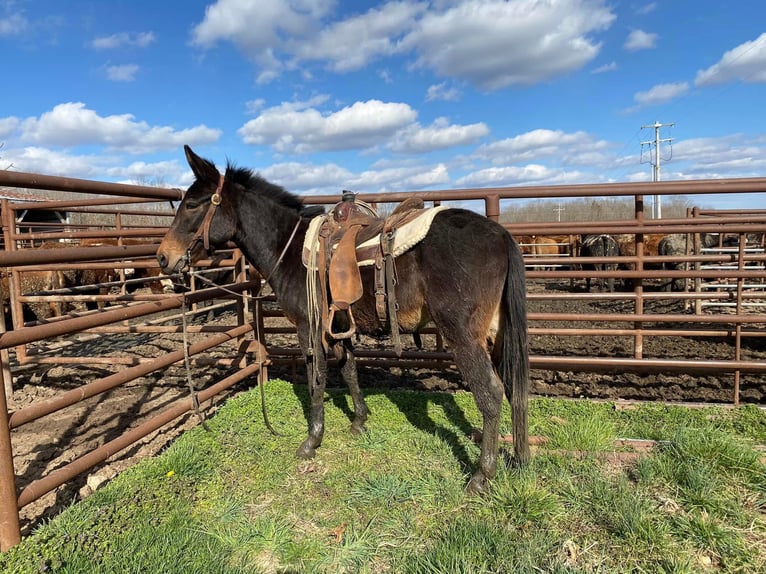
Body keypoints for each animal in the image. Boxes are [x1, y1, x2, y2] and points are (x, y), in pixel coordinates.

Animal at [156, 146, 530, 493]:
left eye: (193, 205)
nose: (163, 257)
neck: (290, 248)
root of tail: (501, 234)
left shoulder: (308, 328)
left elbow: (317, 380)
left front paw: (311, 441)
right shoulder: (339, 325)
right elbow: (349, 370)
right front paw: (359, 422)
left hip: (463, 335)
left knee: (491, 392)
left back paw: (482, 475)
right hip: (498, 333)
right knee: (513, 385)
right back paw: (517, 456)